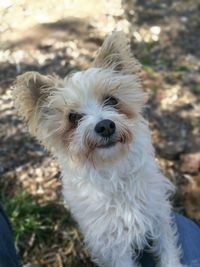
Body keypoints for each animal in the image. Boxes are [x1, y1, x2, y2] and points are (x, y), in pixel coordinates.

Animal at [13, 31, 183, 267]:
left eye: (111, 100)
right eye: (72, 117)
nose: (105, 126)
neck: (114, 172)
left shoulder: (159, 217)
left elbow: (168, 253)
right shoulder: (113, 245)